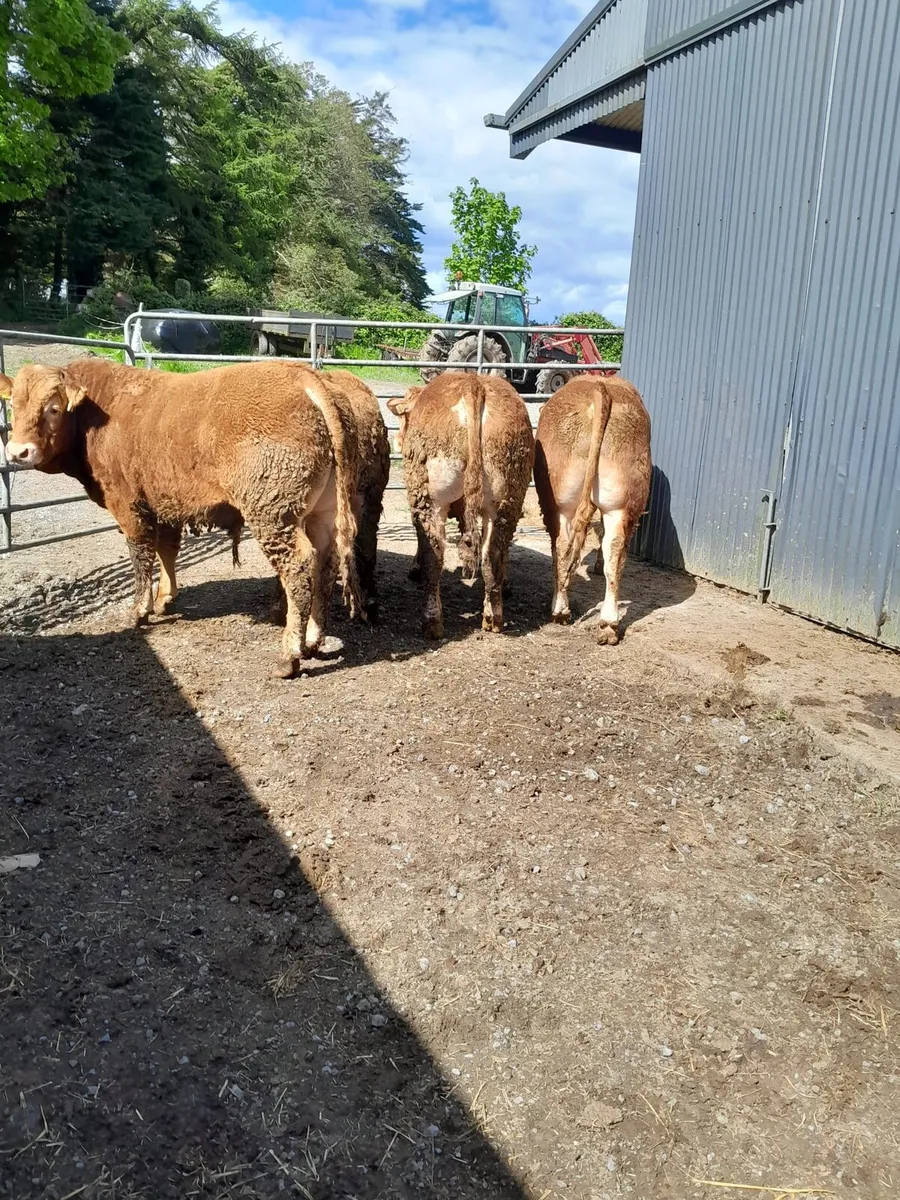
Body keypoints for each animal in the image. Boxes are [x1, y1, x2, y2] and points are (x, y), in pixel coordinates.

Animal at [3, 359, 369, 678]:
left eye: (53, 407)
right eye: (13, 406)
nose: (18, 452)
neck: (99, 412)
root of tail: (306, 377)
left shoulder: (127, 502)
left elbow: (140, 555)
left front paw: (140, 610)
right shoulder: (164, 502)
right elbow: (167, 550)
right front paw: (165, 597)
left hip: (272, 512)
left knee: (300, 566)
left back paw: (289, 655)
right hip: (322, 511)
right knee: (325, 563)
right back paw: (313, 640)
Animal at [387, 373, 534, 638]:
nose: (399, 441)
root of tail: (472, 385)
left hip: (428, 496)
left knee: (434, 554)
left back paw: (432, 622)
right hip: (506, 498)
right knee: (493, 555)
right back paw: (493, 617)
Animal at [533, 376, 651, 644]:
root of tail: (600, 388)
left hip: (561, 505)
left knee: (564, 547)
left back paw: (562, 610)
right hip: (618, 506)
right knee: (613, 551)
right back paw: (607, 622)